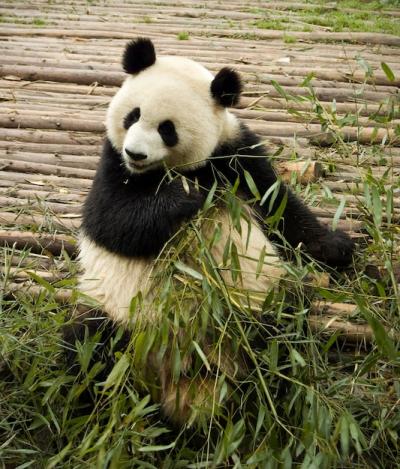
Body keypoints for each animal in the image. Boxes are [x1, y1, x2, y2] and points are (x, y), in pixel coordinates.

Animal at [65, 38, 354, 426]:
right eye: (132, 116)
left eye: (167, 128)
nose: (135, 154)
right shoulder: (112, 163)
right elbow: (112, 220)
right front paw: (190, 196)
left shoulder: (236, 154)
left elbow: (281, 208)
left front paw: (337, 246)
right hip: (113, 314)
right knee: (87, 349)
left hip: (263, 307)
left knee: (283, 338)